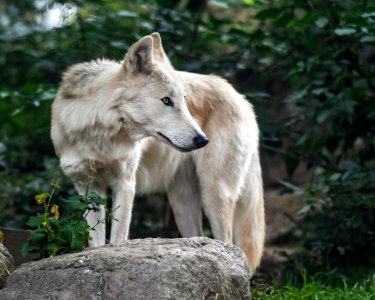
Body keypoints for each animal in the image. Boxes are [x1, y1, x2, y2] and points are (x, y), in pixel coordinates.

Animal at [51, 32, 266, 274]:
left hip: (214, 195)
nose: (203, 140)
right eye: (166, 101)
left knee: (228, 245)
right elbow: (96, 244)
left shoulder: (125, 184)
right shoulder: (86, 189)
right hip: (182, 205)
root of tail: (241, 98)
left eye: (184, 102)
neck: (98, 132)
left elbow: (116, 239)